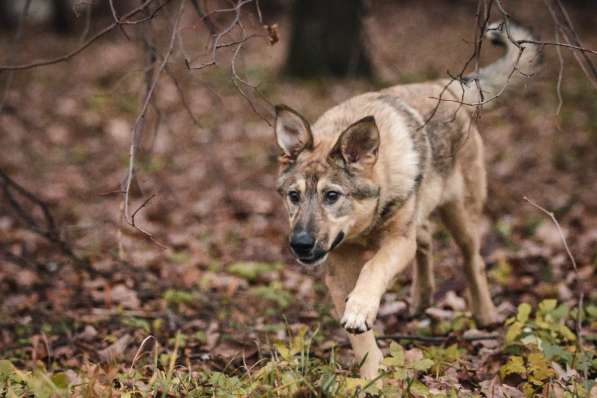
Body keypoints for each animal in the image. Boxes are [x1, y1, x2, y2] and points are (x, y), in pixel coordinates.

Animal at [272, 21, 544, 380]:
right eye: (294, 196)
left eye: (332, 196)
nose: (300, 245)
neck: (365, 225)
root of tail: (445, 85)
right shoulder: (339, 268)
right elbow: (360, 338)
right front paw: (372, 377)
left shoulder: (396, 243)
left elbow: (373, 268)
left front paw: (361, 310)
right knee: (425, 239)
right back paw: (421, 297)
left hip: (459, 216)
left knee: (471, 259)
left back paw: (485, 314)